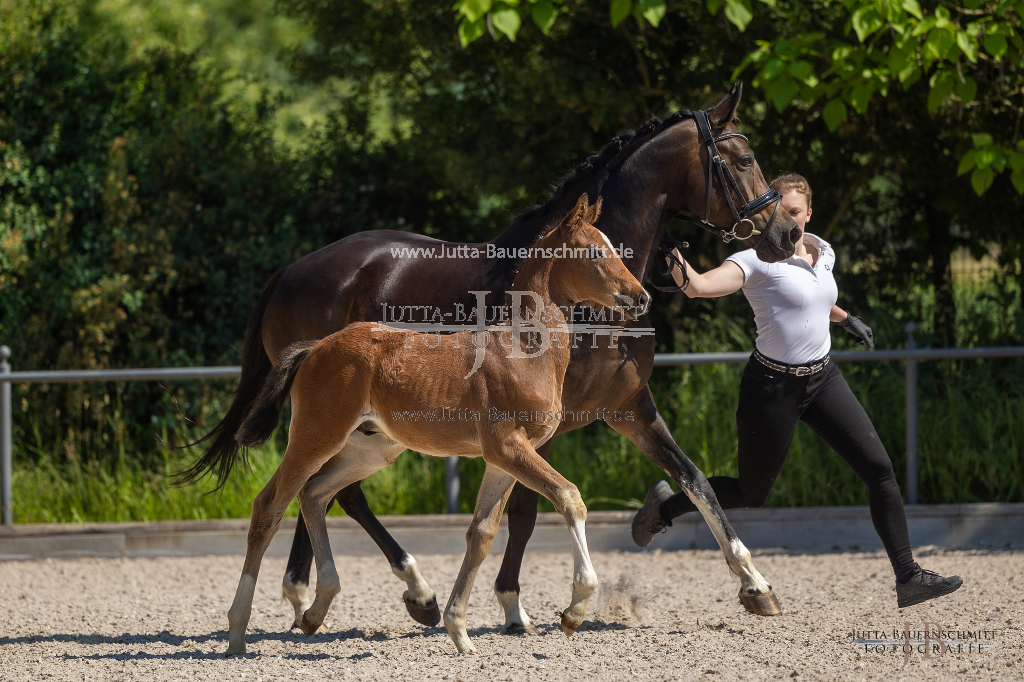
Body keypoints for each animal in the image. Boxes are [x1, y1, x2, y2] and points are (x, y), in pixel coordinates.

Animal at [226, 195, 647, 655]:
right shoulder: (508, 446)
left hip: (371, 449)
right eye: (594, 253)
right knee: (270, 506)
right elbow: (569, 498)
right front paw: (574, 611)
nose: (640, 297)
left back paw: (316, 610)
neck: (521, 350)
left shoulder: (503, 459)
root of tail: (316, 347)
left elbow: (481, 533)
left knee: (316, 493)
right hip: (316, 435)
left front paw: (459, 631)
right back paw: (237, 633)